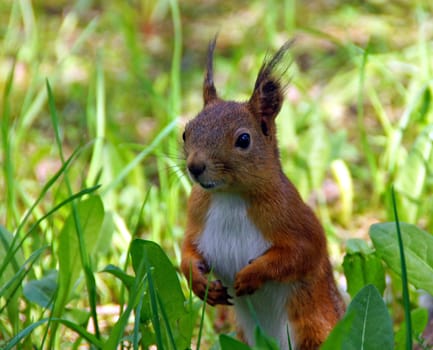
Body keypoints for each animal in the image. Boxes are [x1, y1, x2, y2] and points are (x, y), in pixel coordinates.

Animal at [179, 39, 344, 350]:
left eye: (244, 139)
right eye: (186, 132)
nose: (195, 167)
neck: (229, 197)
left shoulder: (295, 219)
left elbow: (300, 254)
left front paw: (250, 276)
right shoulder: (196, 219)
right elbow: (187, 250)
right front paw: (200, 283)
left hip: (315, 329)